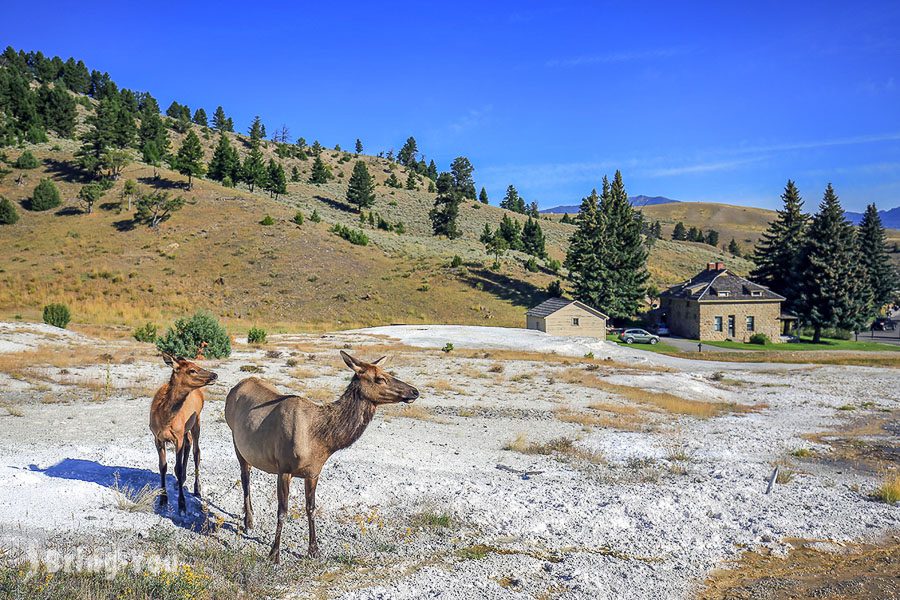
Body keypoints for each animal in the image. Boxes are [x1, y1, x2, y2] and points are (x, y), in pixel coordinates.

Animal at [150, 354, 217, 512]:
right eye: (192, 370)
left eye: (197, 365)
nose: (214, 375)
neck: (165, 419)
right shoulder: (157, 437)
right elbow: (163, 466)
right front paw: (163, 499)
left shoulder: (177, 437)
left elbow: (178, 468)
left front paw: (182, 504)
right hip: (187, 428)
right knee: (189, 443)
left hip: (196, 420)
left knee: (196, 451)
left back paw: (197, 488)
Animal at [225, 352, 422, 564]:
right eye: (380, 378)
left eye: (387, 373)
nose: (414, 391)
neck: (321, 440)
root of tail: (236, 387)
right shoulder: (284, 468)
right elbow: (282, 511)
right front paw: (274, 554)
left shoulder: (314, 472)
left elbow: (310, 508)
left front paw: (314, 550)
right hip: (236, 441)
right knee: (245, 479)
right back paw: (248, 521)